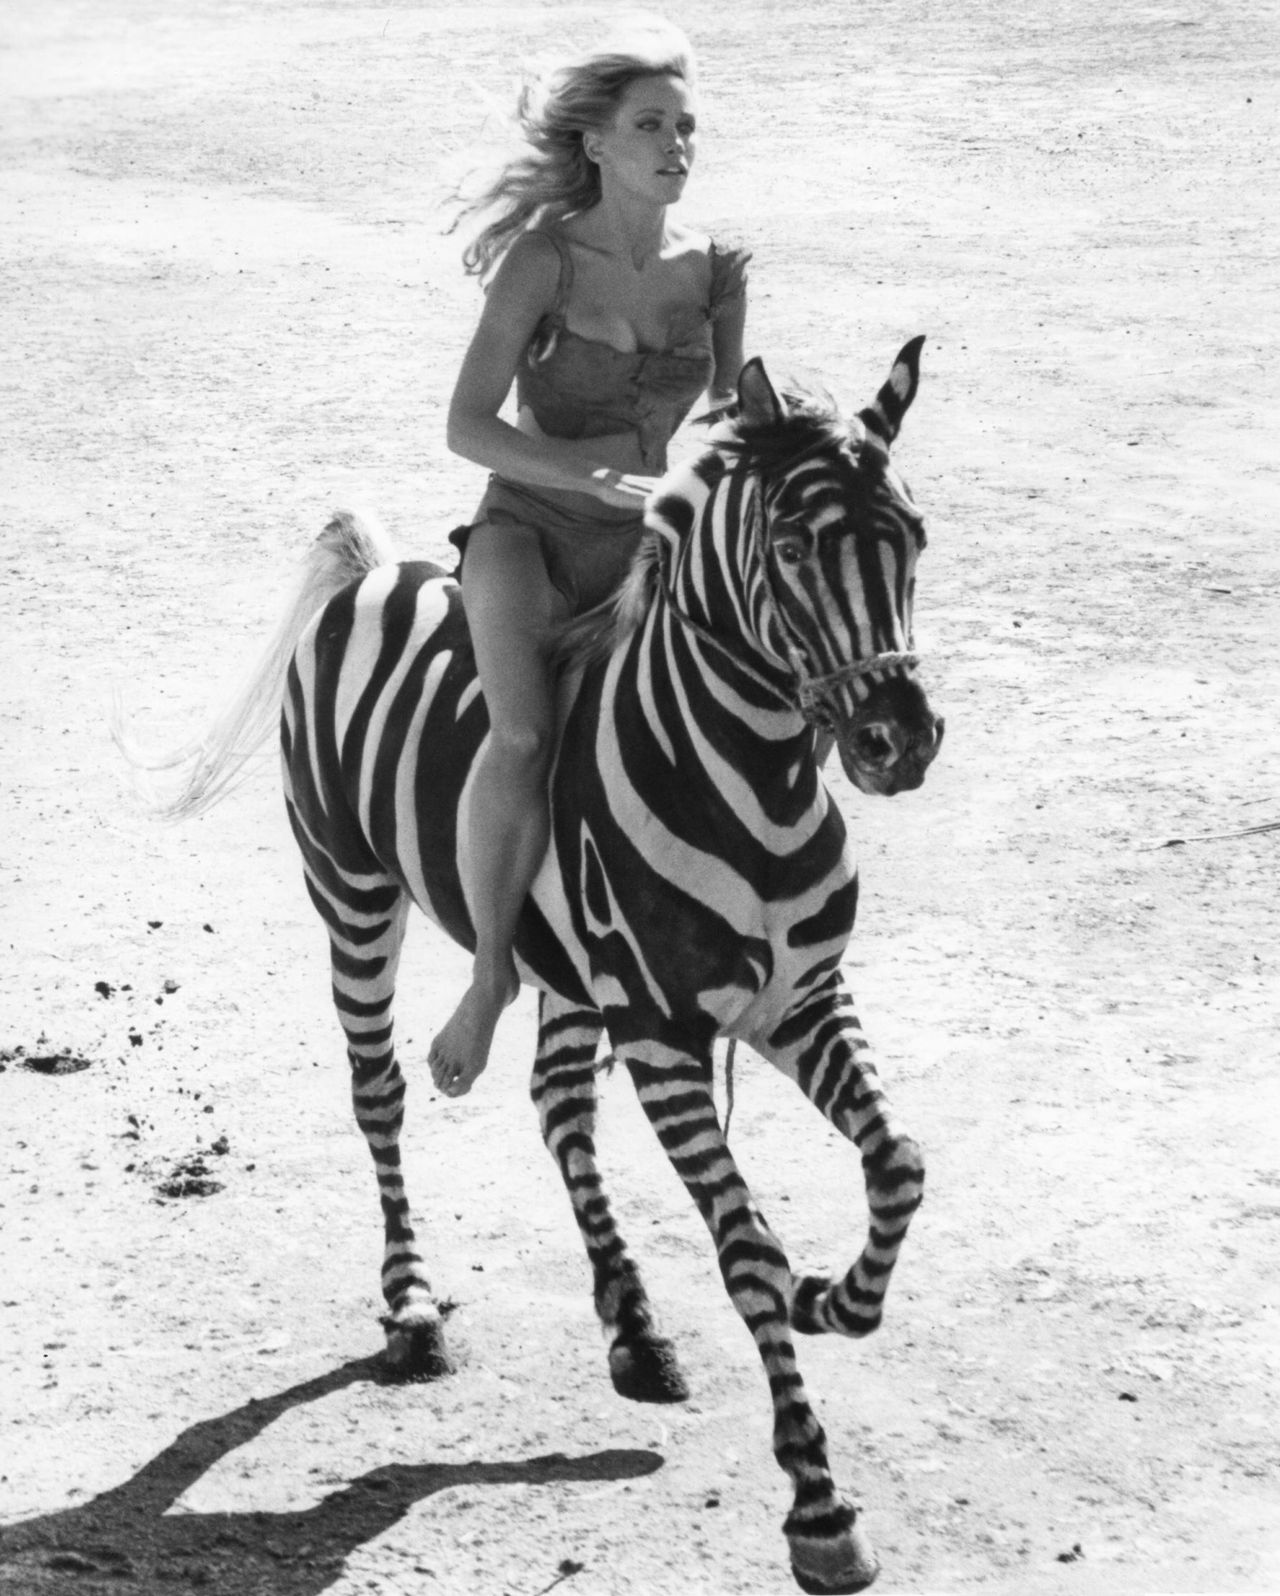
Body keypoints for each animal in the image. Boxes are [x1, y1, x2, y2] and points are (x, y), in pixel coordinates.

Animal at [144, 339, 938, 1596]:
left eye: (912, 534)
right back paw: (413, 1308)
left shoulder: (798, 1001)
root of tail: (381, 571)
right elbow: (747, 1250)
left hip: (562, 966)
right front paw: (817, 1505)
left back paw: (635, 1330)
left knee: (559, 1105)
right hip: (351, 893)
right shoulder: (662, 1032)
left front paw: (834, 1301)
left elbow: (897, 1164)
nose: (897, 742)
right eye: (792, 548)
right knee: (379, 1093)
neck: (751, 786)